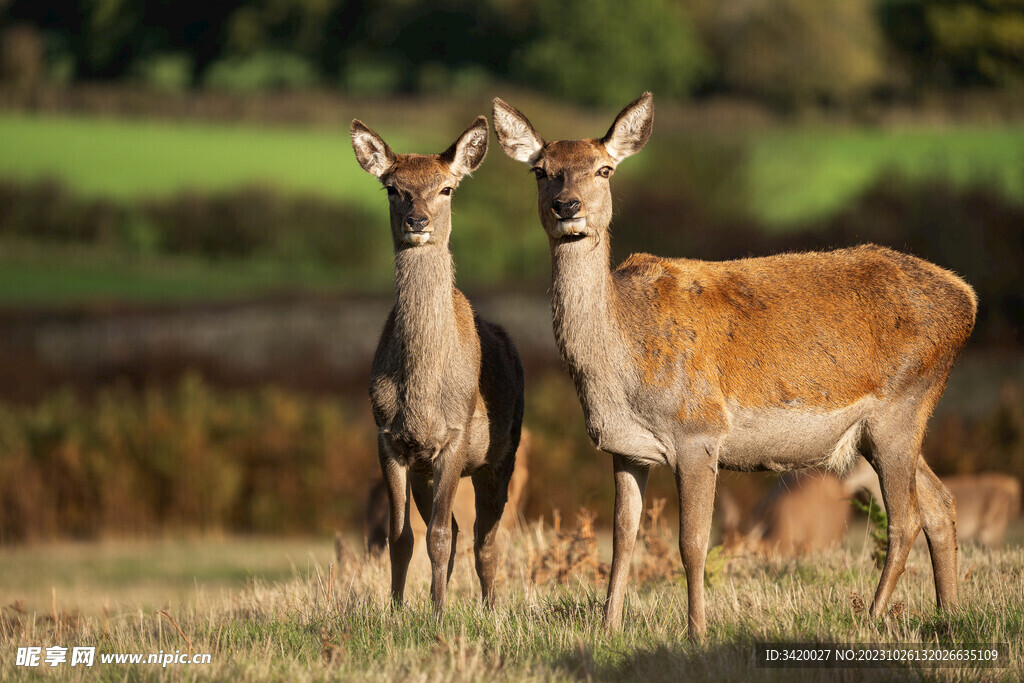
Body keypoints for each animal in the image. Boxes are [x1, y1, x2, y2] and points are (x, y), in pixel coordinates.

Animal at [354, 114, 528, 610]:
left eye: (447, 188)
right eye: (393, 188)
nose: (418, 221)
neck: (422, 397)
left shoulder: (455, 436)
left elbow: (437, 537)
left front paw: (437, 614)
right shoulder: (391, 440)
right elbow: (401, 537)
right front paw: (396, 611)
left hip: (503, 454)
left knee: (484, 538)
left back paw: (490, 608)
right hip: (427, 469)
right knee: (451, 527)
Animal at [493, 93, 974, 638]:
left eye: (604, 169)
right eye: (541, 171)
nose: (567, 205)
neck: (622, 364)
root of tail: (968, 299)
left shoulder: (698, 432)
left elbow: (693, 543)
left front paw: (697, 631)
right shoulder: (625, 448)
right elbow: (622, 538)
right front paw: (609, 627)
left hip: (902, 406)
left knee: (906, 518)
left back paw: (871, 617)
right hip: (890, 426)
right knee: (940, 503)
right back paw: (948, 613)